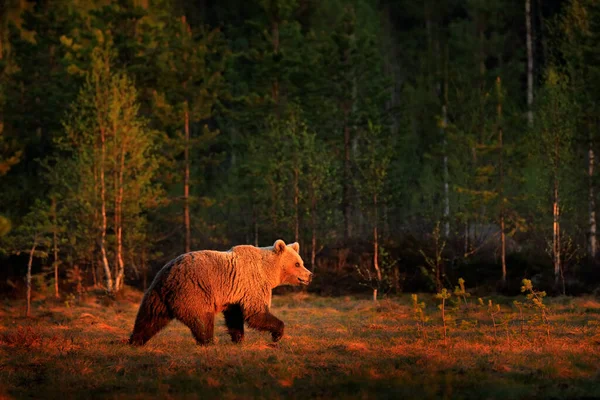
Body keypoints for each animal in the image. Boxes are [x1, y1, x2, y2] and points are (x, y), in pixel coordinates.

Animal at [128, 239, 312, 346]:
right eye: (297, 264)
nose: (309, 275)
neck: (268, 271)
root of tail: (170, 275)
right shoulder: (253, 283)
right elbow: (256, 312)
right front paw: (277, 334)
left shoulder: (235, 292)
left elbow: (235, 315)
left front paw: (238, 338)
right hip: (193, 291)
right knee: (202, 318)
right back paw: (209, 341)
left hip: (156, 294)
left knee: (149, 318)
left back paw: (135, 340)